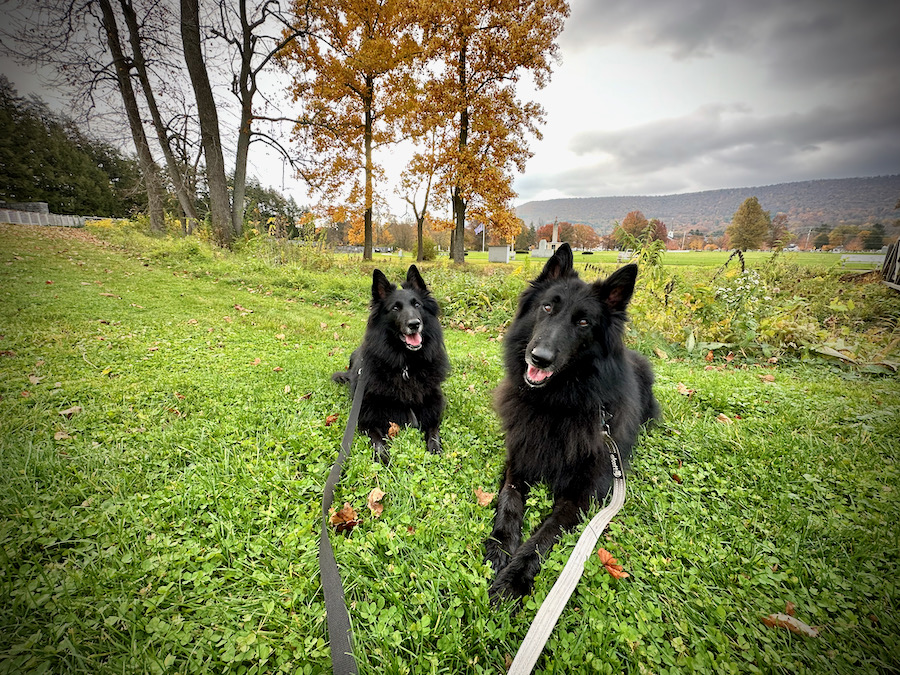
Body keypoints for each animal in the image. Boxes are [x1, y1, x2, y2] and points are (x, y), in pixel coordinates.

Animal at [330, 264, 450, 464]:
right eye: (395, 308)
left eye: (417, 305)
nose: (414, 324)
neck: (406, 365)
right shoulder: (366, 417)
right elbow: (378, 440)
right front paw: (385, 459)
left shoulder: (432, 410)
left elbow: (434, 432)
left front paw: (435, 450)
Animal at [486, 244, 660, 604]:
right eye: (547, 307)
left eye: (582, 322)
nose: (539, 358)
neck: (555, 406)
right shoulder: (518, 459)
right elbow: (509, 501)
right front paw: (500, 545)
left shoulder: (583, 495)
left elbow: (544, 535)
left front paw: (513, 579)